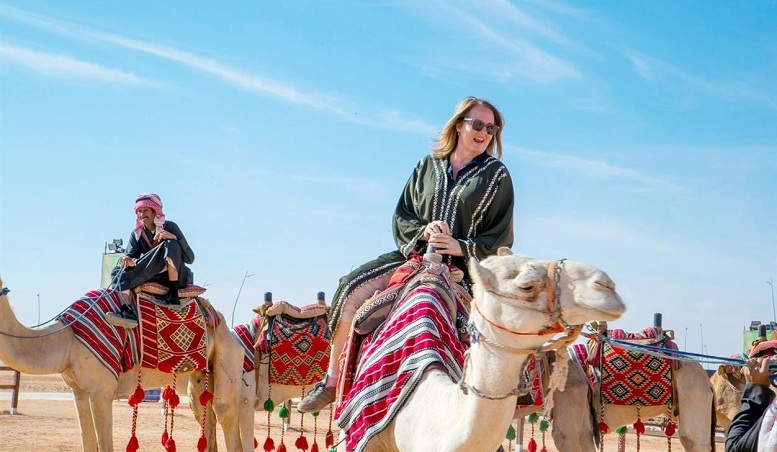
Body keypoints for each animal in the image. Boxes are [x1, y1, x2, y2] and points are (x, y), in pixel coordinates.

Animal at [0, 278, 244, 452]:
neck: (66, 339)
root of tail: (218, 317)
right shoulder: (79, 392)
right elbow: (88, 443)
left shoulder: (101, 391)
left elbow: (105, 445)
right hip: (201, 374)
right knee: (204, 413)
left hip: (228, 354)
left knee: (225, 412)